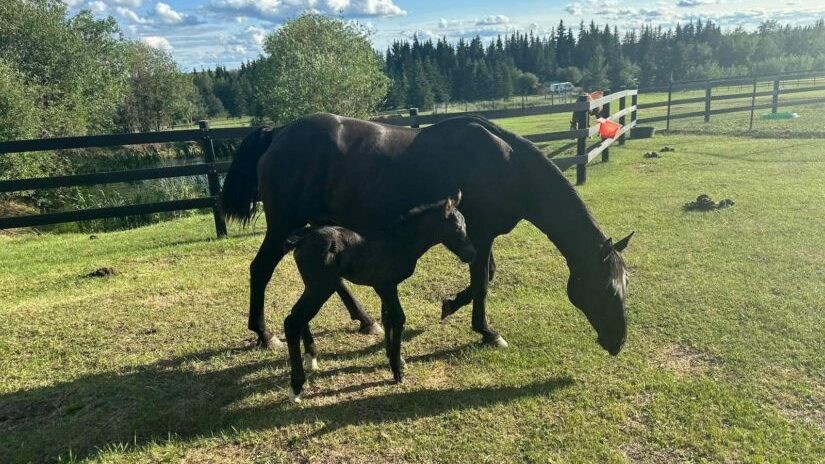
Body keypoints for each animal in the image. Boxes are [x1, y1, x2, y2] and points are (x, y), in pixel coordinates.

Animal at [280, 193, 474, 402]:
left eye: (466, 225)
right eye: (457, 228)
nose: (471, 254)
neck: (400, 241)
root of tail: (301, 239)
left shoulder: (385, 287)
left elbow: (387, 317)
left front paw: (393, 358)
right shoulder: (386, 286)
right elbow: (398, 318)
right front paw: (397, 371)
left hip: (313, 286)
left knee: (298, 316)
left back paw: (311, 358)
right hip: (321, 287)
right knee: (293, 321)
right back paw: (296, 388)